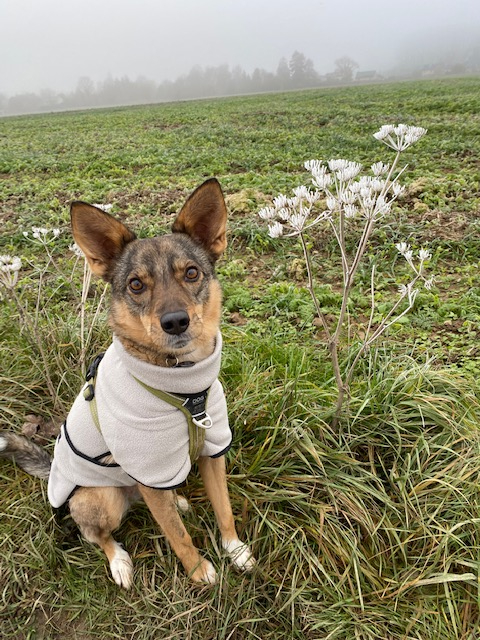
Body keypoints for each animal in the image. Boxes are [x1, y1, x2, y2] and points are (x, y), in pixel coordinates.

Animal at [0, 178, 255, 588]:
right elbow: (177, 535)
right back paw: (119, 561)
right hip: (101, 497)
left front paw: (235, 550)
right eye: (136, 284)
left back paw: (177, 501)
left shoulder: (212, 450)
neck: (184, 390)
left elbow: (224, 509)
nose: (176, 322)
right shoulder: (151, 469)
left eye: (192, 273)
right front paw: (198, 571)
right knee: (95, 533)